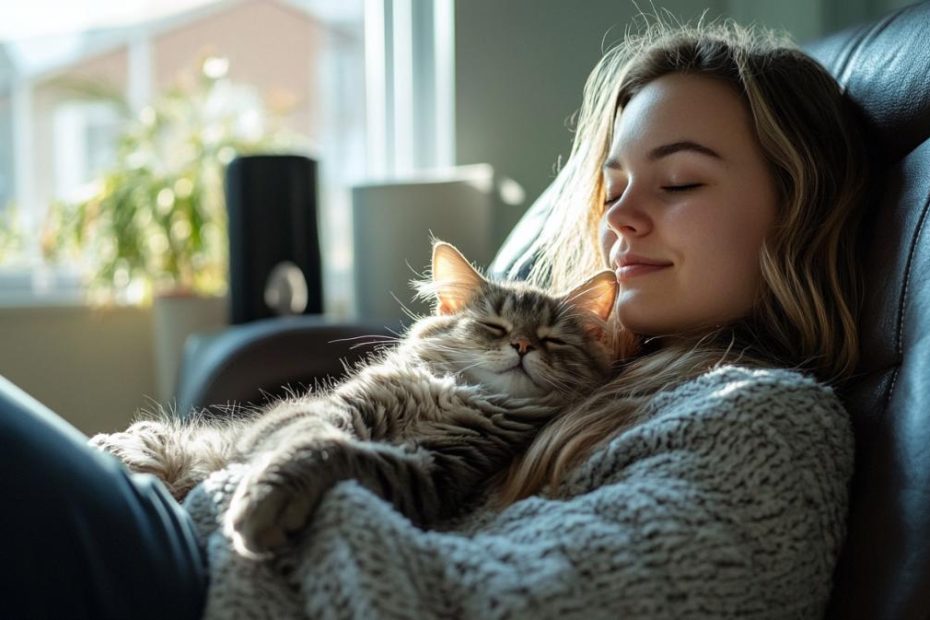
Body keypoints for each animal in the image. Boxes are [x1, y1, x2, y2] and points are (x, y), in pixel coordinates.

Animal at [92, 240, 616, 556]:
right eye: (494, 327)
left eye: (552, 339)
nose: (523, 346)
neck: (456, 394)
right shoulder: (325, 412)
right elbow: (315, 439)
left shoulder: (428, 471)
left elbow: (328, 453)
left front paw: (265, 505)